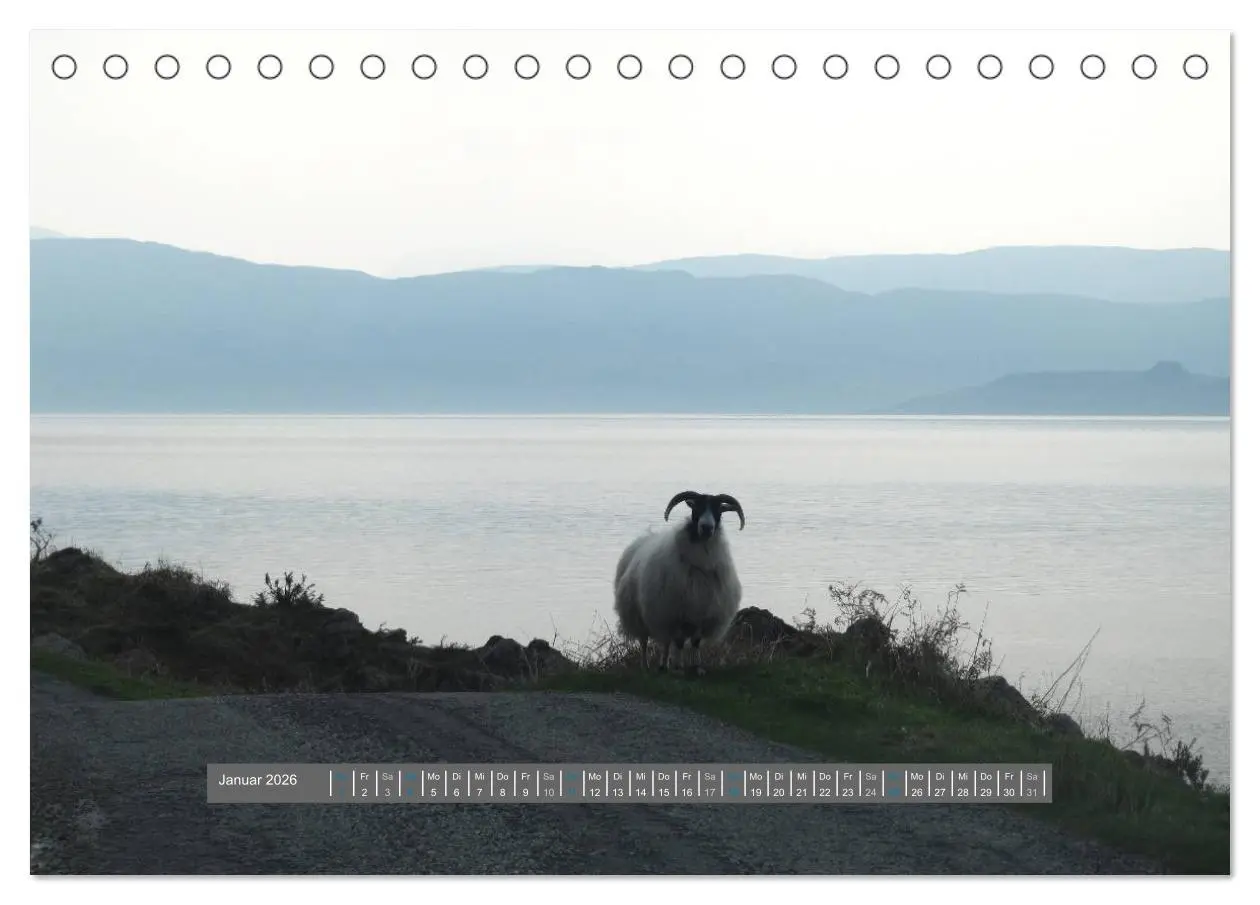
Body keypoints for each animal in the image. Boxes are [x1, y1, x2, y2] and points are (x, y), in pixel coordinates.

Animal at [613, 490, 745, 675]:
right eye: (696, 508)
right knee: (644, 641)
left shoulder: (702, 612)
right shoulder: (677, 613)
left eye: (718, 510)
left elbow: (695, 642)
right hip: (639, 615)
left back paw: (664, 665)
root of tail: (644, 538)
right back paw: (646, 666)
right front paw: (680, 667)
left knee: (667, 642)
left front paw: (697, 667)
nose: (706, 527)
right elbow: (681, 642)